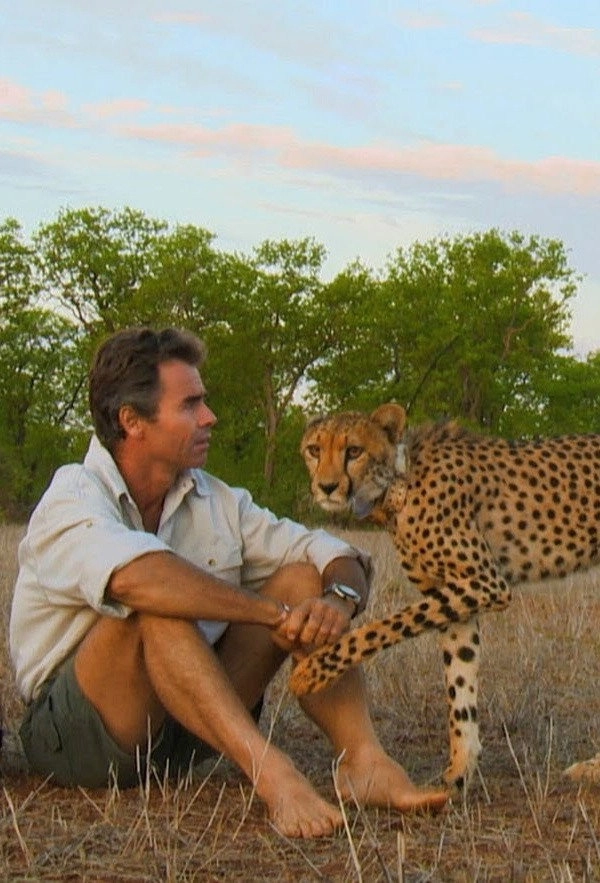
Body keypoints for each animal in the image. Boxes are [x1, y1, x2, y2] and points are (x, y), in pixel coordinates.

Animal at [289, 402, 600, 789]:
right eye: (315, 449)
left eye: (354, 451)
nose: (327, 486)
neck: (398, 483)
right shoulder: (456, 602)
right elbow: (460, 684)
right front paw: (459, 771)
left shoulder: (485, 583)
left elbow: (381, 628)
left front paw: (310, 672)